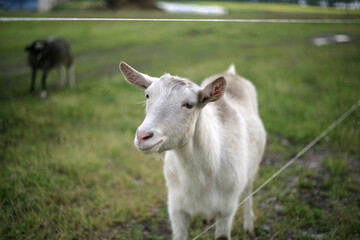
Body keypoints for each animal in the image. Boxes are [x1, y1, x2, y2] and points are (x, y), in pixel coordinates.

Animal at [119, 62, 266, 240]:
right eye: (148, 95)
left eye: (189, 105)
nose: (143, 136)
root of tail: (231, 73)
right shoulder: (176, 207)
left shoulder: (227, 208)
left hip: (252, 167)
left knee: (249, 189)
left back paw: (248, 224)